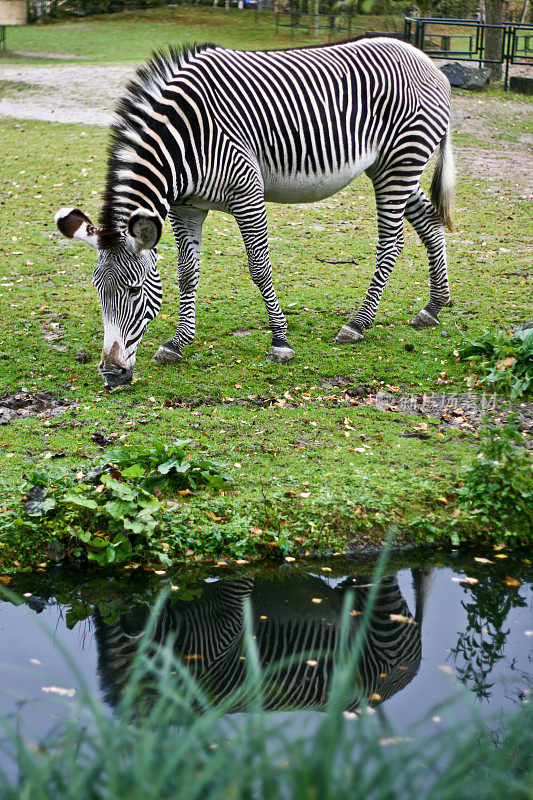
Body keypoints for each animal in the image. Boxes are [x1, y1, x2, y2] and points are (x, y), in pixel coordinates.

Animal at [55, 37, 454, 388]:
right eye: (97, 290)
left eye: (135, 291)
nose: (111, 374)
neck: (186, 140)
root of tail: (425, 59)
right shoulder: (187, 208)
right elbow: (187, 274)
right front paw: (177, 343)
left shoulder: (247, 193)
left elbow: (259, 268)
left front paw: (280, 341)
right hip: (389, 166)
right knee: (430, 222)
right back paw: (433, 307)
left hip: (401, 160)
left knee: (391, 241)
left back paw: (358, 324)